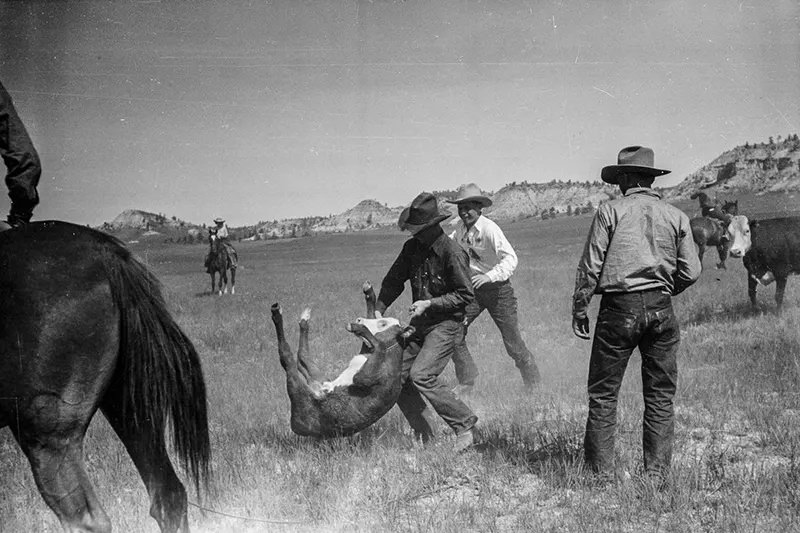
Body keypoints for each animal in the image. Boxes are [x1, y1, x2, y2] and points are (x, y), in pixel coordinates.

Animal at [272, 282, 416, 436]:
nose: (358, 319)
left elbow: (378, 345)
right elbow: (371, 316)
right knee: (302, 356)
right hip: (317, 377)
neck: (391, 352)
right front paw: (369, 294)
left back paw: (277, 313)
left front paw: (359, 327)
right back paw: (304, 319)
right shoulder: (365, 350)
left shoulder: (365, 377)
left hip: (298, 391)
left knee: (287, 356)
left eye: (383, 324)